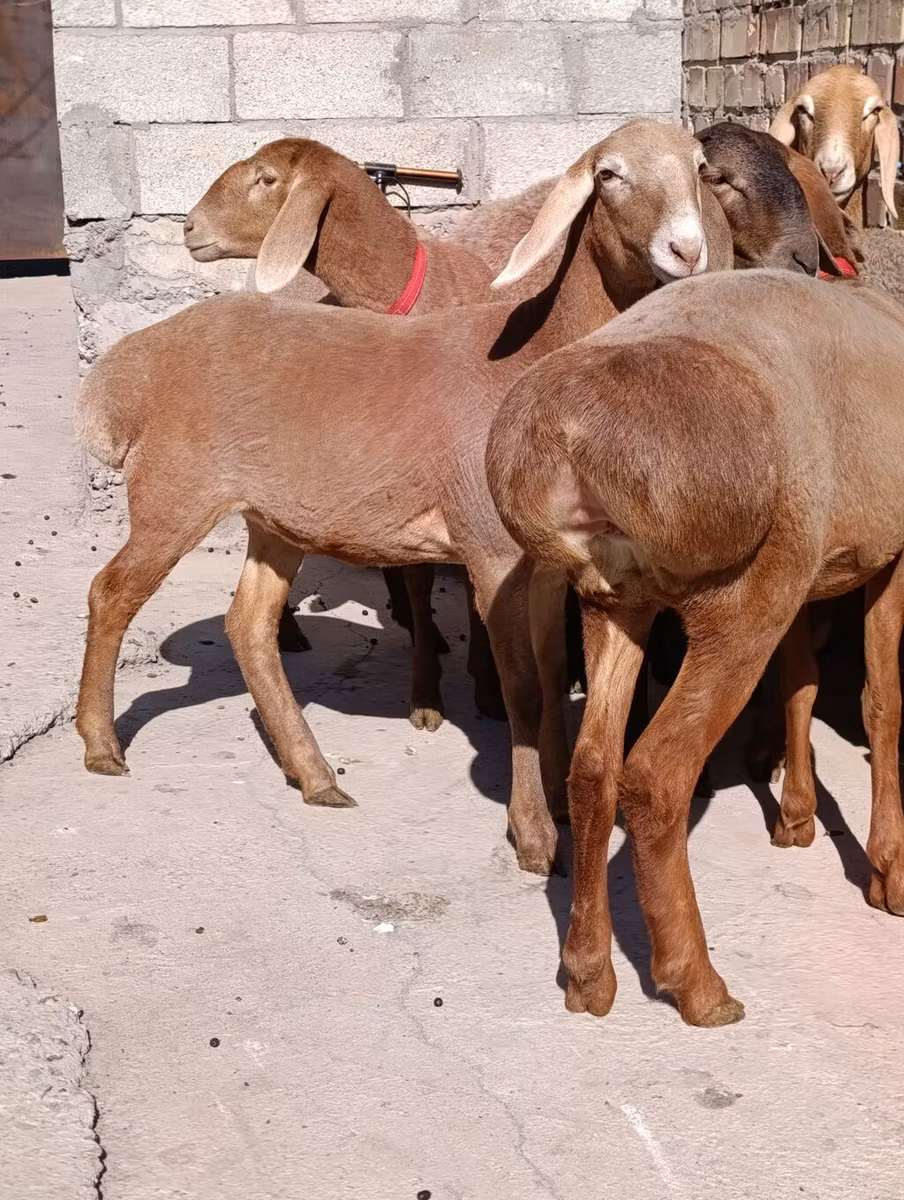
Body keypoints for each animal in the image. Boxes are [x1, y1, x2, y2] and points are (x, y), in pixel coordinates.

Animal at [75, 120, 733, 879]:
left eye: (699, 166)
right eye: (609, 175)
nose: (686, 249)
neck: (538, 350)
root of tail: (124, 372)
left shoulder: (544, 564)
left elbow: (552, 676)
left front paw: (560, 799)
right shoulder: (491, 551)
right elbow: (522, 689)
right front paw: (534, 836)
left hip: (275, 516)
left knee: (249, 624)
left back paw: (314, 774)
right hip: (174, 492)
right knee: (111, 593)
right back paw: (100, 743)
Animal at [485, 268, 904, 1024]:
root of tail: (564, 440)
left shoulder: (812, 575)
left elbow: (801, 682)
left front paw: (796, 816)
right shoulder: (883, 555)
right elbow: (882, 701)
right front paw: (890, 871)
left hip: (617, 599)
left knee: (594, 768)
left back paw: (589, 973)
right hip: (735, 603)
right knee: (656, 775)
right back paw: (698, 983)